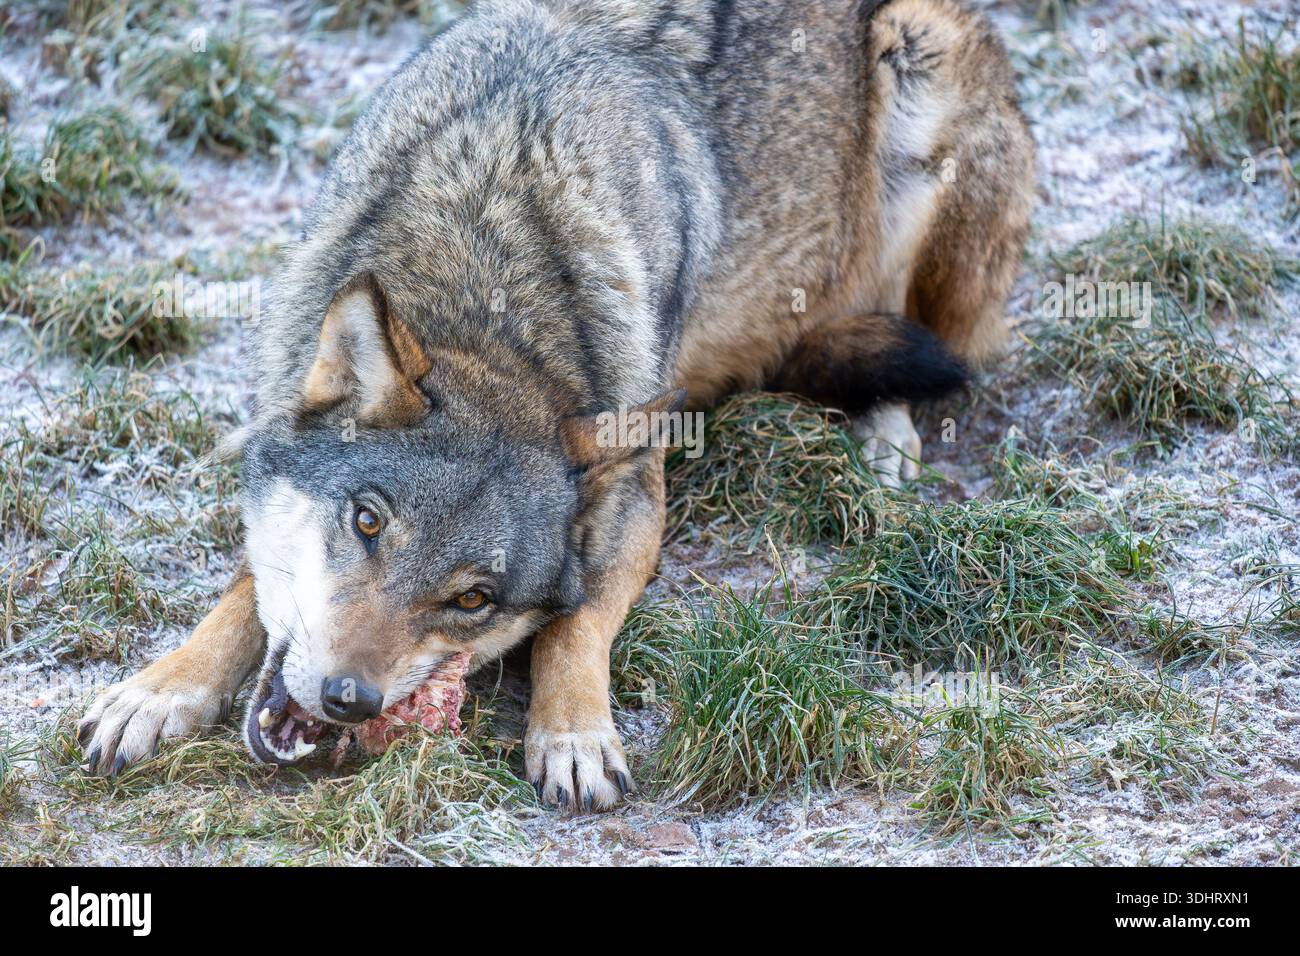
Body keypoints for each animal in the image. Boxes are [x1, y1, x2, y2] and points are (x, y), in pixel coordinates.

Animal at [78, 0, 1033, 810]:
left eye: (474, 599)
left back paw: (883, 441)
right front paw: (162, 688)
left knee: (905, 337)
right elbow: (245, 587)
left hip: (921, 83)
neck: (483, 282)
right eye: (366, 522)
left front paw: (572, 736)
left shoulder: (637, 486)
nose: (349, 699)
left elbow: (576, 621)